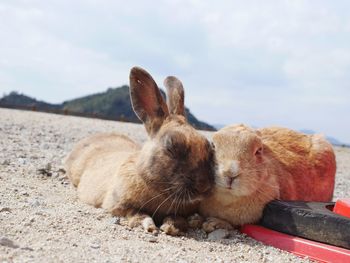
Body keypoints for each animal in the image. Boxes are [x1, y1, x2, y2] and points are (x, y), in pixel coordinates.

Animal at [64, 66, 215, 235]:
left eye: (208, 146)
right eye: (171, 146)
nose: (204, 187)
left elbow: (177, 217)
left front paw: (172, 226)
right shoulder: (118, 204)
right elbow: (136, 212)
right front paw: (148, 226)